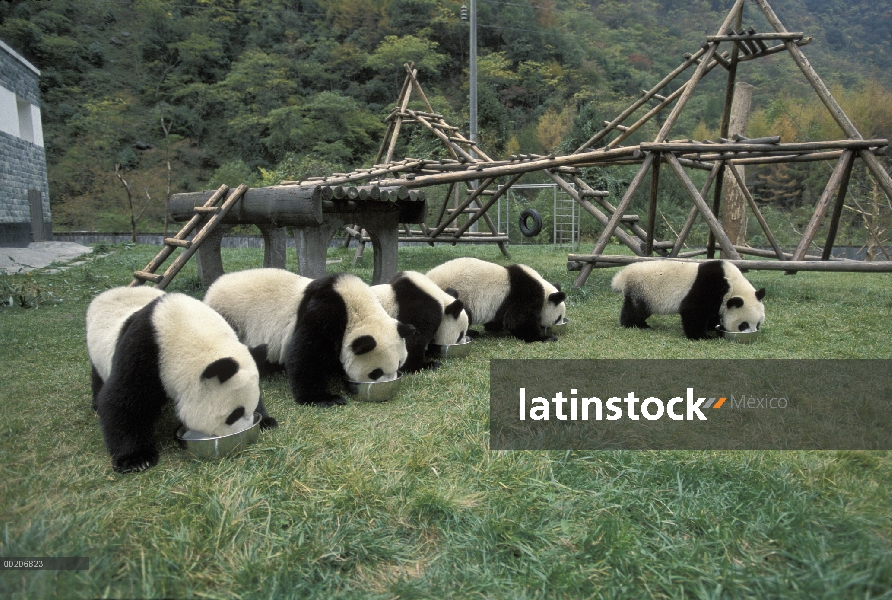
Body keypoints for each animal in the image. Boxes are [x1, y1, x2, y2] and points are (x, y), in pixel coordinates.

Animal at [87, 288, 278, 474]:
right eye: (234, 414)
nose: (242, 435)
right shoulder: (145, 352)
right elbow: (123, 401)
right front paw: (136, 460)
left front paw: (266, 422)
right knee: (99, 379)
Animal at [424, 258, 564, 342]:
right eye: (558, 317)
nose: (558, 325)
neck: (543, 289)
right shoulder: (524, 293)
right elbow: (519, 319)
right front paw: (544, 337)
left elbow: (501, 317)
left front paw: (494, 327)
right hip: (460, 295)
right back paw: (471, 333)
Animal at [612, 258, 768, 340]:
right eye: (743, 325)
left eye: (758, 323)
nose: (752, 333)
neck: (732, 286)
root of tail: (623, 275)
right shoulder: (707, 287)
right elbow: (694, 312)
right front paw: (702, 336)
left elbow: (713, 314)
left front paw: (712, 326)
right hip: (643, 290)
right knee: (636, 310)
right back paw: (635, 324)